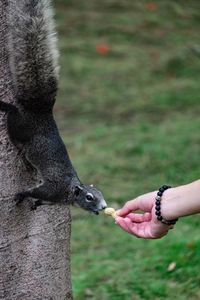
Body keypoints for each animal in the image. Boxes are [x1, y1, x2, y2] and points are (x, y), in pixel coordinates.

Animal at [0, 0, 107, 213]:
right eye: (90, 197)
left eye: (101, 193)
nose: (103, 207)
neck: (69, 192)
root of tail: (41, 111)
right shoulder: (53, 189)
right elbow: (36, 191)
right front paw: (22, 195)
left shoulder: (54, 199)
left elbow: (42, 201)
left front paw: (36, 204)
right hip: (20, 127)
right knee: (13, 118)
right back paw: (5, 107)